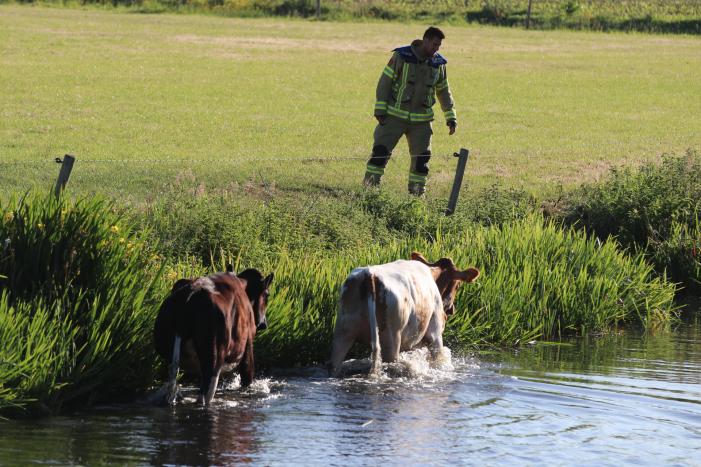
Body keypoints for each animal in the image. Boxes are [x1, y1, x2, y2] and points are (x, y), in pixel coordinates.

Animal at [154, 265, 274, 405]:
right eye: (267, 296)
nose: (263, 324)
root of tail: (191, 294)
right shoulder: (248, 346)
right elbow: (247, 377)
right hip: (214, 358)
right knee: (204, 396)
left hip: (169, 352)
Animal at [329, 252, 479, 377]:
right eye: (457, 285)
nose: (451, 310)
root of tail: (369, 274)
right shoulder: (435, 334)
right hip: (391, 339)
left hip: (343, 332)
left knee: (334, 363)